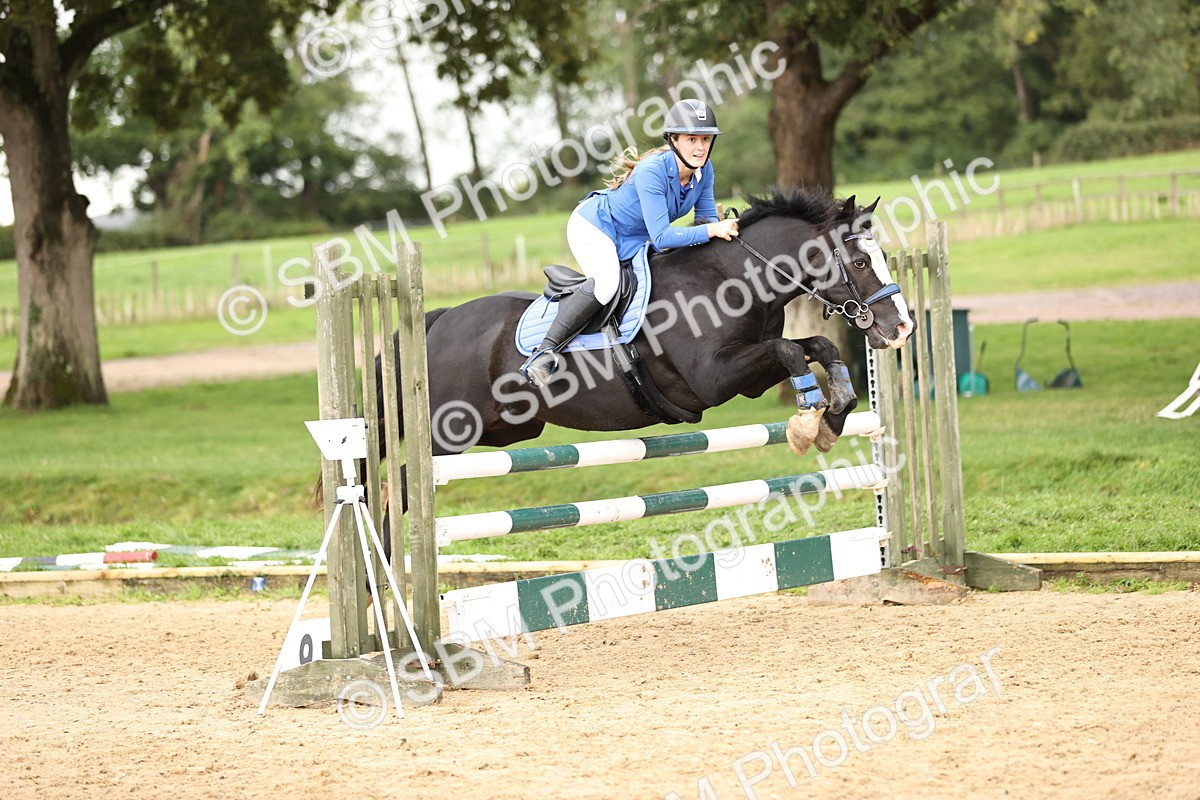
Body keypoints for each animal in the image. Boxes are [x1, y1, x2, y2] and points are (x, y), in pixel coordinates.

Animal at [365, 188, 914, 520]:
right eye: (860, 261)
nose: (901, 328)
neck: (731, 280)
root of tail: (436, 322)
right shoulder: (713, 379)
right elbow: (788, 350)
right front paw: (807, 421)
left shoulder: (747, 376)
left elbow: (813, 346)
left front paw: (834, 414)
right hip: (445, 433)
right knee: (398, 488)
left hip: (508, 428)